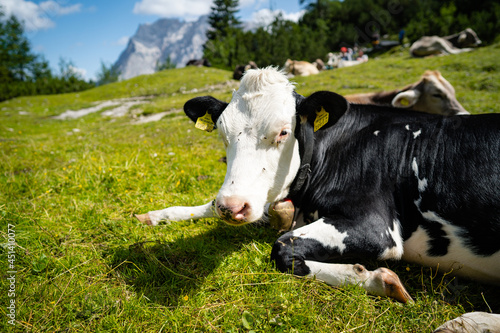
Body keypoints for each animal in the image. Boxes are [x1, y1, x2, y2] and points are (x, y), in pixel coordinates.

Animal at [136, 68, 500, 332]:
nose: (233, 206)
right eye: (223, 135)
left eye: (284, 132)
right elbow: (214, 207)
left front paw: (373, 278)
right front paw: (158, 215)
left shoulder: (374, 227)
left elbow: (282, 249)